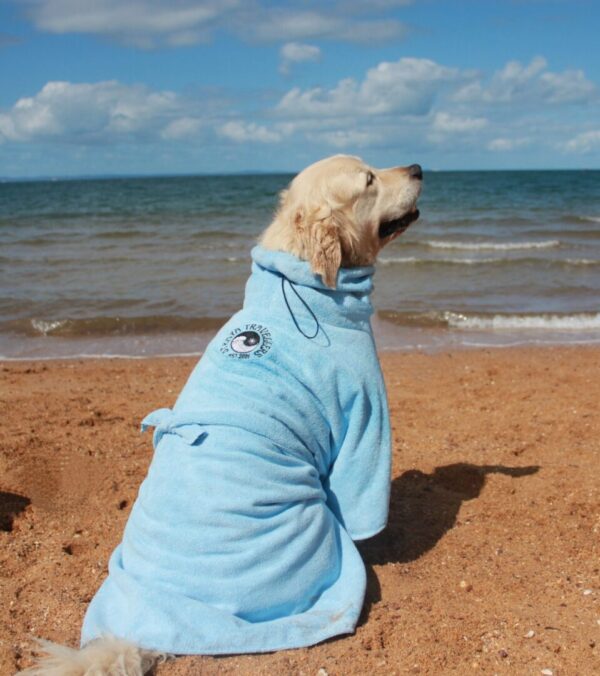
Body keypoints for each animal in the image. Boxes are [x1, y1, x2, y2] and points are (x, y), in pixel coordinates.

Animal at [23, 156, 422, 676]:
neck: (304, 282)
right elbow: (361, 506)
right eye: (369, 180)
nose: (418, 168)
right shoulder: (365, 418)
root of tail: (143, 630)